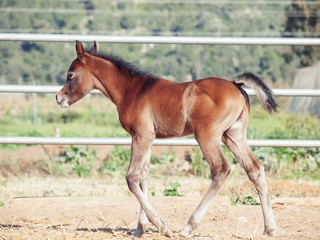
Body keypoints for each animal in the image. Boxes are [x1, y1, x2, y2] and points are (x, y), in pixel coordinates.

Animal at [57, 41, 278, 238]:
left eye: (70, 74)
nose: (59, 98)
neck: (132, 90)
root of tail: (236, 84)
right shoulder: (147, 138)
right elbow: (144, 176)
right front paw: (140, 229)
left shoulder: (141, 135)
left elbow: (132, 177)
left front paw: (162, 227)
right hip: (233, 135)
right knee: (255, 169)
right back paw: (268, 230)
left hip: (207, 136)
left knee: (221, 169)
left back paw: (188, 228)